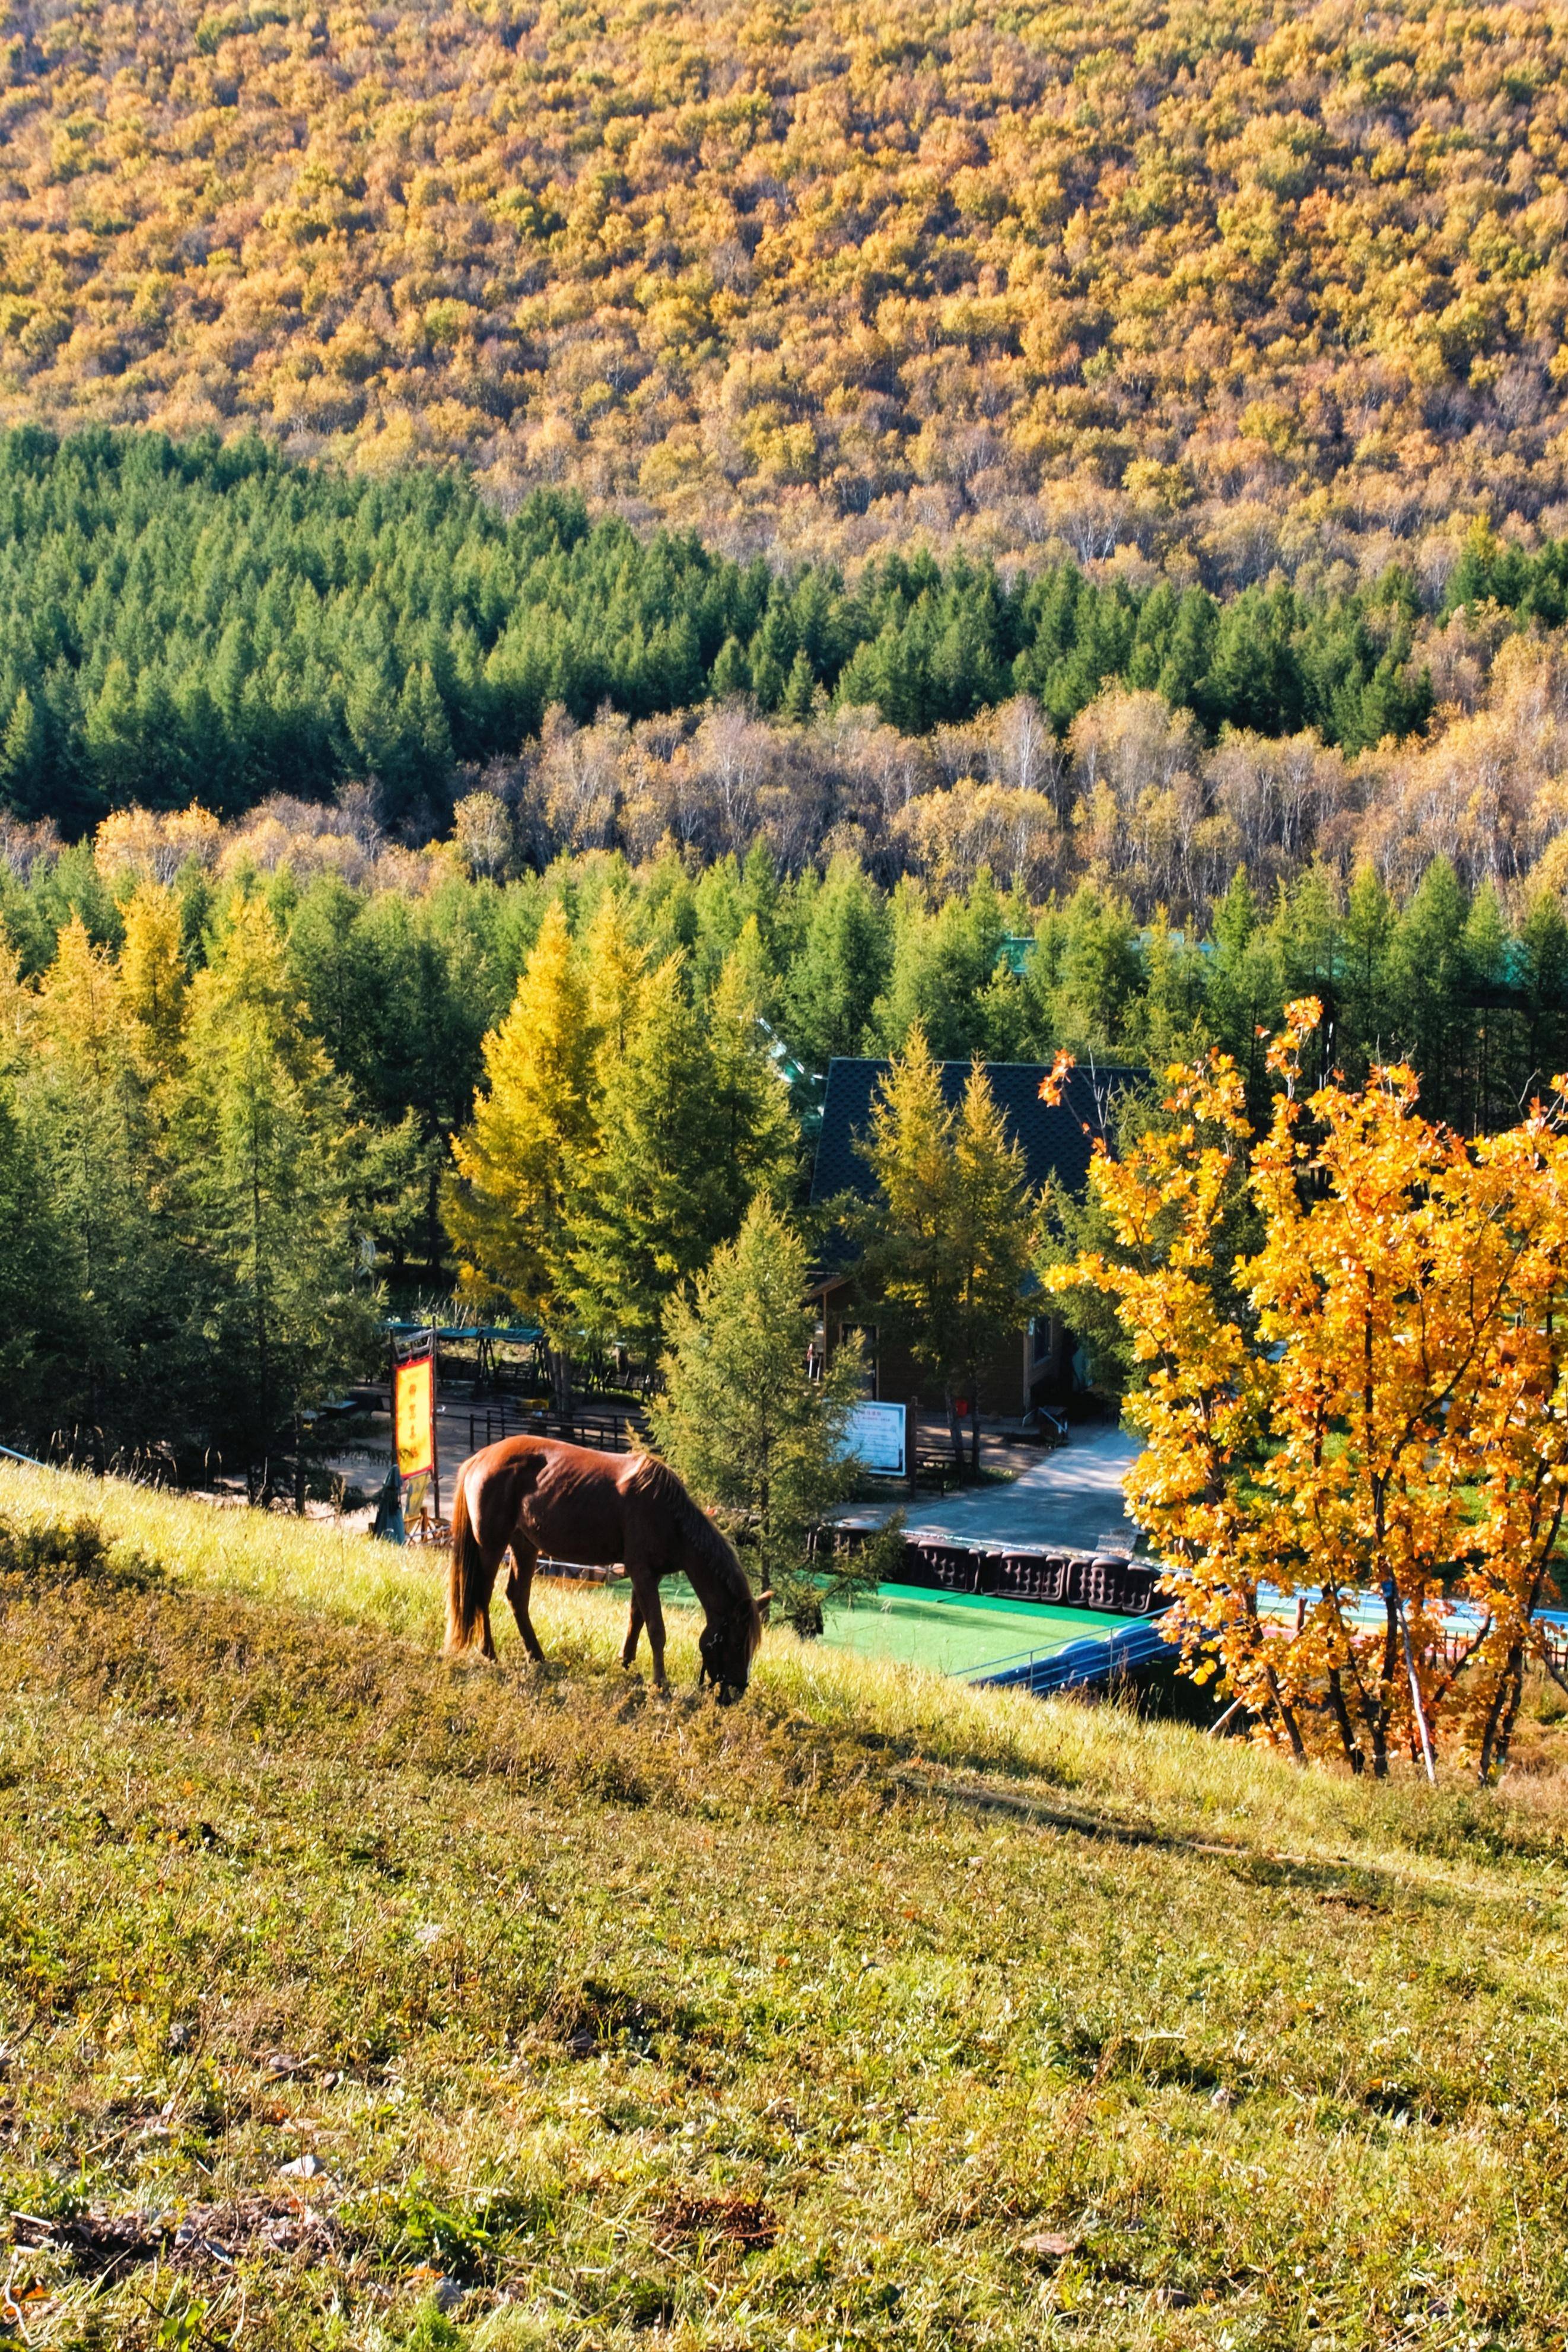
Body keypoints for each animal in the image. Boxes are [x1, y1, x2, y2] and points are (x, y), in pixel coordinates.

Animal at [444, 1420, 761, 1702]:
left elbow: (636, 1620)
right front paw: (660, 1685)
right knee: (482, 1595)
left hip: (525, 1546)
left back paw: (537, 1656)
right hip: (492, 1545)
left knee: (517, 1598)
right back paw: (490, 1653)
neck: (670, 1517)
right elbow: (656, 1629)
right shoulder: (641, 1571)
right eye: (736, 1642)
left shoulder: (650, 1575)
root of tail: (480, 1457)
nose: (735, 1694)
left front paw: (627, 1665)